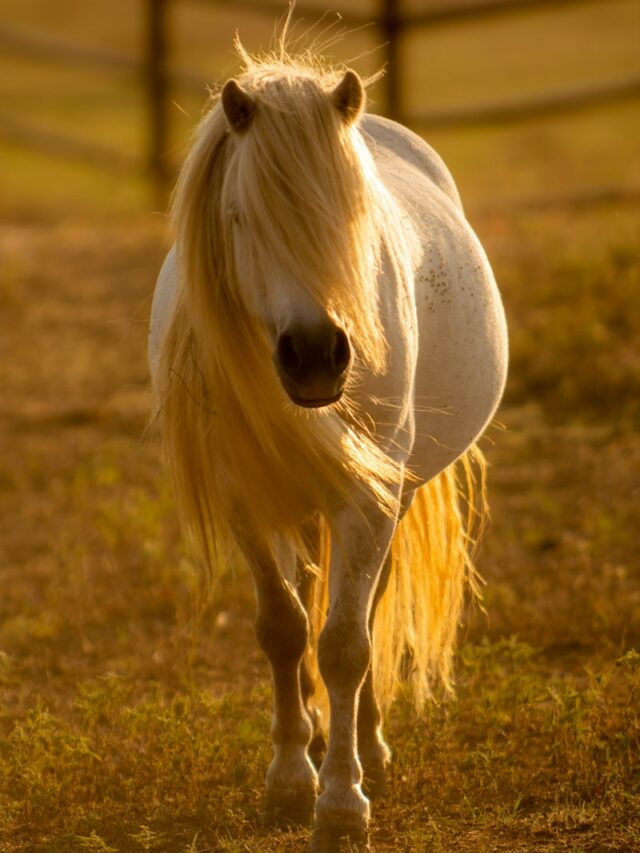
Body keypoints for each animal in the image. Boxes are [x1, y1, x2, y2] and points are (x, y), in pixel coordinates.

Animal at [148, 40, 508, 852]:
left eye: (355, 214)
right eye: (240, 218)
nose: (316, 356)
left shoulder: (367, 498)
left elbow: (346, 643)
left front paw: (343, 802)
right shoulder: (245, 494)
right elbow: (283, 629)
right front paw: (289, 779)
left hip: (389, 496)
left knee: (366, 610)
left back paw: (366, 745)